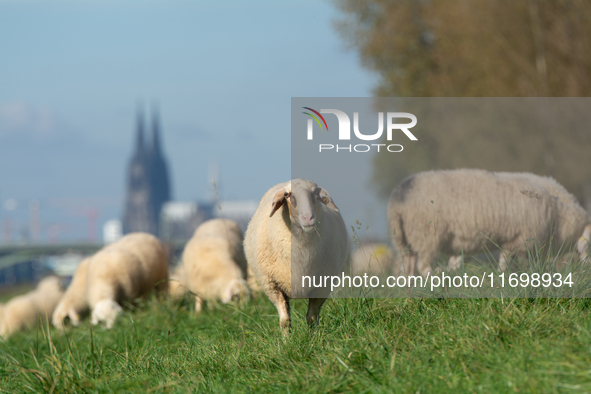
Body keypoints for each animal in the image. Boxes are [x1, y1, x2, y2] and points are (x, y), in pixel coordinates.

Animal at [243, 178, 350, 330]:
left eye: (315, 193)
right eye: (287, 195)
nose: (308, 217)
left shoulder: (322, 286)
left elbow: (312, 318)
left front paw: (314, 336)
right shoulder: (272, 285)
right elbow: (285, 320)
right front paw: (286, 337)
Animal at [388, 169, 591, 278]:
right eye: (589, 244)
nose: (587, 269)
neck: (559, 215)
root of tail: (396, 202)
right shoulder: (518, 239)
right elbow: (505, 261)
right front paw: (502, 277)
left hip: (402, 240)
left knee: (405, 268)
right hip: (427, 236)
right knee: (423, 266)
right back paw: (437, 278)